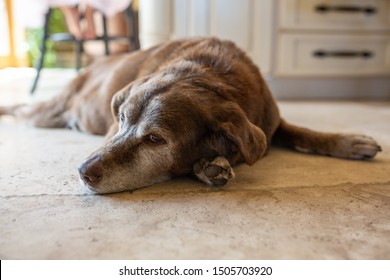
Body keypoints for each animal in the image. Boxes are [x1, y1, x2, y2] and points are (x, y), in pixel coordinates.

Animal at [0, 37, 382, 194]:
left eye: (155, 139)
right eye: (121, 119)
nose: (82, 171)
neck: (207, 72)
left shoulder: (271, 121)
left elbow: (303, 131)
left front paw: (350, 142)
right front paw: (210, 165)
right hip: (49, 110)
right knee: (23, 110)